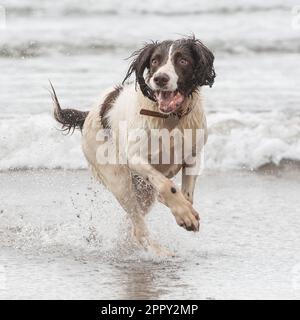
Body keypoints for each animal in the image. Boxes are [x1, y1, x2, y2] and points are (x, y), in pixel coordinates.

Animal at [51, 36, 216, 255]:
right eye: (154, 61)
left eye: (183, 60)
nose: (160, 78)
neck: (169, 119)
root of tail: (89, 114)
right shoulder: (135, 157)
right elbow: (167, 184)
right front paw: (185, 215)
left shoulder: (194, 155)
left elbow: (187, 194)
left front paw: (183, 209)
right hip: (118, 179)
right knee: (138, 228)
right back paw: (160, 252)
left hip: (141, 191)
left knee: (132, 225)